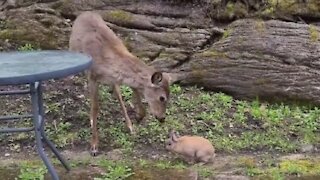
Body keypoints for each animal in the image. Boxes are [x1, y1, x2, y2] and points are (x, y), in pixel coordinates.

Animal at [69, 11, 178, 155]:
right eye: (162, 98)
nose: (162, 118)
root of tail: (84, 13)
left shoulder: (115, 78)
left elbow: (128, 94)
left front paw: (137, 119)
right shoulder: (93, 76)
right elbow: (96, 107)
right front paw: (94, 145)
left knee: (117, 94)